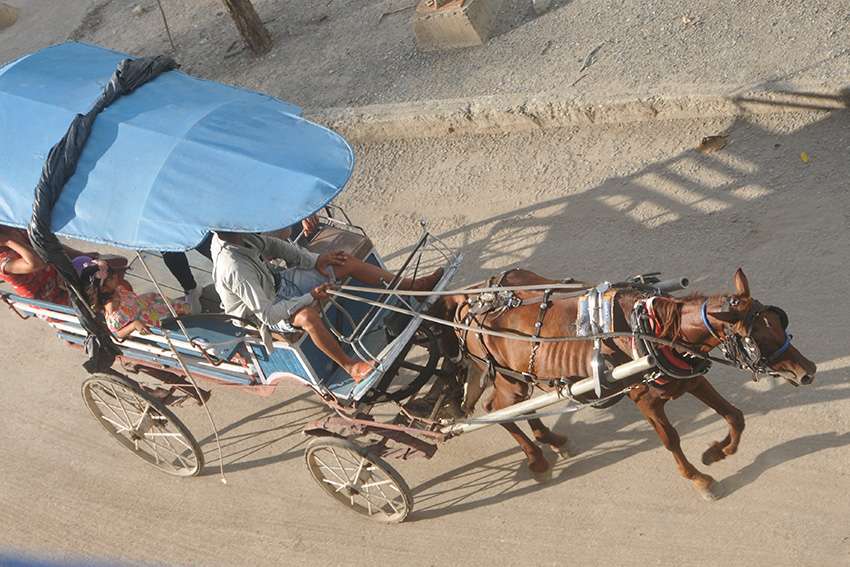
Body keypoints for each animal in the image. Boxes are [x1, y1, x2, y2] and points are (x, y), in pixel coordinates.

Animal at [430, 268, 816, 500]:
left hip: (516, 378)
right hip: (508, 378)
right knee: (496, 409)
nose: (807, 371)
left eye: (778, 321)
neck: (654, 331)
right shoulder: (645, 399)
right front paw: (700, 479)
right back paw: (537, 460)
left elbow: (735, 416)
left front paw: (716, 452)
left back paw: (552, 441)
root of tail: (468, 301)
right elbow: (670, 439)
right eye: (756, 337)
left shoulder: (691, 381)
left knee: (511, 408)